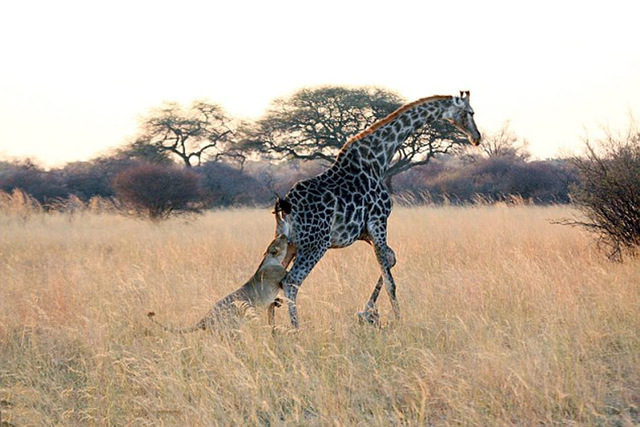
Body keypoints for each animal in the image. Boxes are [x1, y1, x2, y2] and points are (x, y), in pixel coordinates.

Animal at [276, 91, 480, 328]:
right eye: (470, 112)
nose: (477, 137)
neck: (378, 158)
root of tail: (286, 207)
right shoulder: (379, 221)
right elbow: (390, 279)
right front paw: (395, 319)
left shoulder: (363, 231)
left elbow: (391, 259)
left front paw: (367, 312)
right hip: (315, 244)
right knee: (291, 281)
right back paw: (296, 329)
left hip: (288, 244)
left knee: (271, 278)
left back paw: (272, 327)